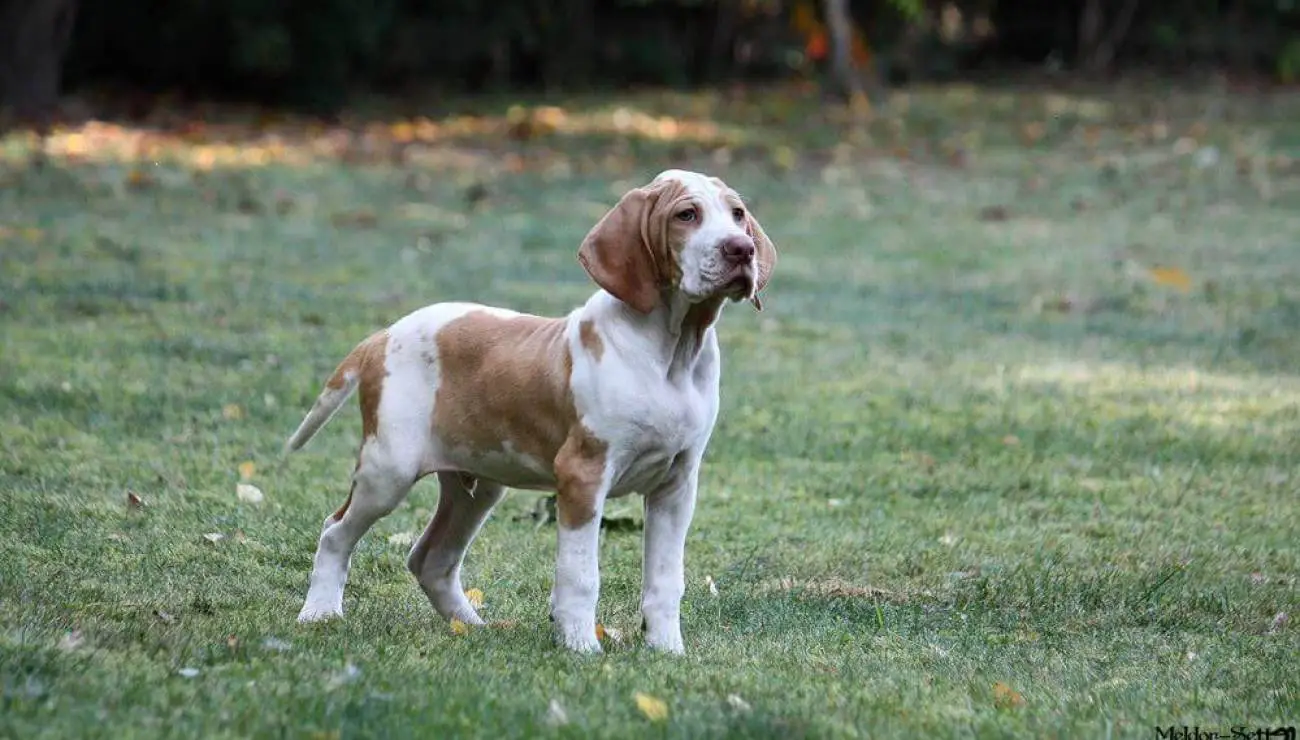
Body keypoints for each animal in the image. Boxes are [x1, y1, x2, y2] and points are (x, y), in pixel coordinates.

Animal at [284, 169, 769, 652]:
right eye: (687, 215)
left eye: (737, 214)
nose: (740, 249)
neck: (673, 351)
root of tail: (383, 335)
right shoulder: (582, 476)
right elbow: (580, 574)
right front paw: (581, 648)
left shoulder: (676, 485)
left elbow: (665, 580)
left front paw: (667, 650)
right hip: (388, 469)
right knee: (335, 531)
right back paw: (319, 613)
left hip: (476, 486)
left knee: (431, 558)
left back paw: (471, 626)